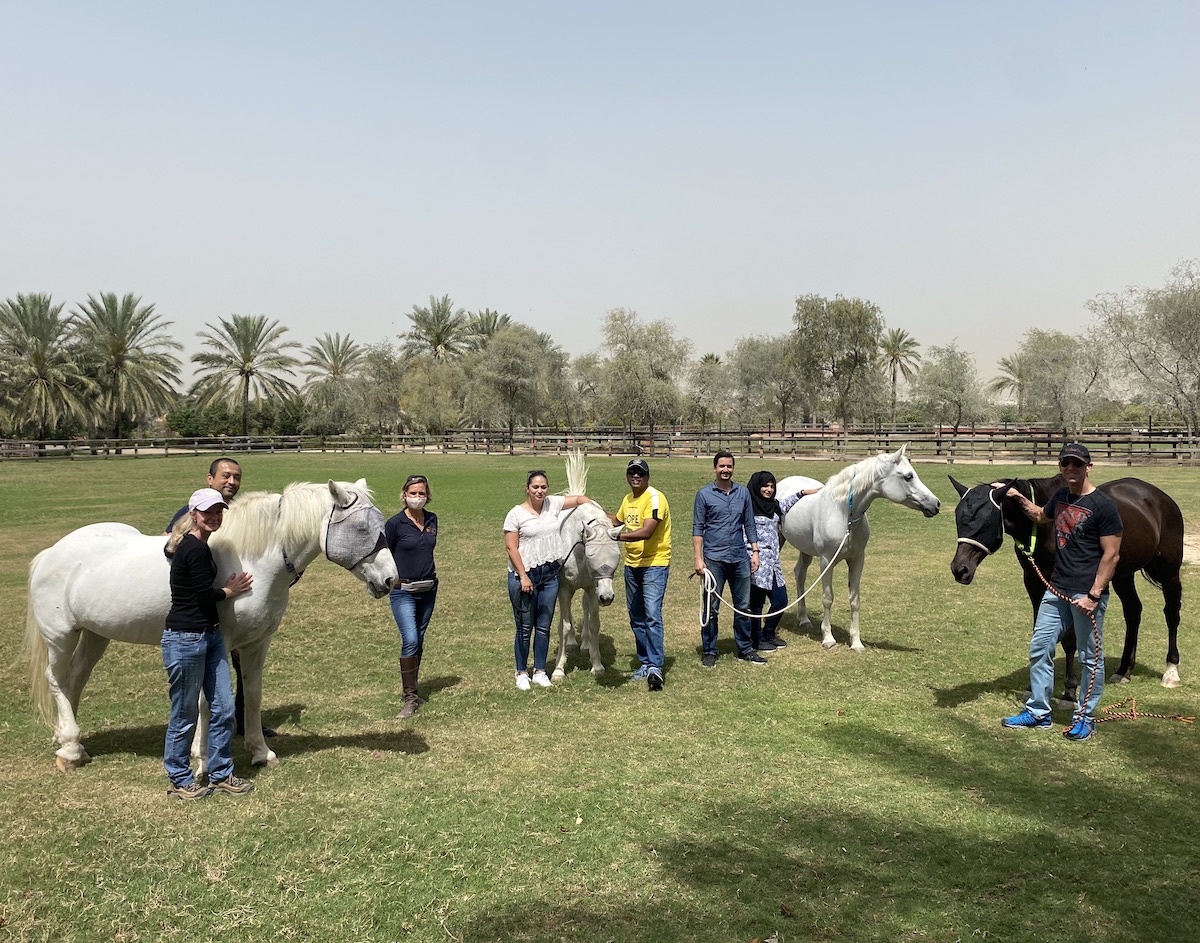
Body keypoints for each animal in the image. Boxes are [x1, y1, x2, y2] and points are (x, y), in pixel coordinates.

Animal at [24, 477, 398, 772]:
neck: (250, 561)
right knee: (56, 679)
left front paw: (261, 752)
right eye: (362, 528)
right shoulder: (215, 643)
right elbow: (206, 699)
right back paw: (71, 750)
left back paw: (66, 737)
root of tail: (50, 554)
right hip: (61, 636)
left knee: (75, 679)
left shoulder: (256, 644)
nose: (390, 579)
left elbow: (252, 694)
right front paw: (201, 757)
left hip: (95, 635)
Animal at [549, 453, 619, 681]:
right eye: (591, 555)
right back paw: (572, 642)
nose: (607, 598)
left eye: (617, 556)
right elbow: (564, 625)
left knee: (585, 607)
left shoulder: (593, 587)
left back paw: (586, 644)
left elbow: (594, 623)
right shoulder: (564, 589)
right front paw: (559, 669)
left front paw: (597, 665)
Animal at [782, 443, 940, 652]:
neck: (843, 512)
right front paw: (828, 638)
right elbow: (828, 598)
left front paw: (856, 642)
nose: (936, 504)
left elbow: (855, 600)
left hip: (806, 550)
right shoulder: (826, 561)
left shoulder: (857, 560)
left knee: (800, 574)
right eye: (908, 476)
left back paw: (804, 619)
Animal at [950, 470, 1185, 695]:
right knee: (1133, 612)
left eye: (987, 520)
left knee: (1171, 614)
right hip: (1122, 575)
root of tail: (1158, 496)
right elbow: (1040, 633)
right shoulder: (1033, 582)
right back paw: (1123, 670)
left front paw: (1069, 690)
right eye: (959, 517)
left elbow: (1070, 639)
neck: (1046, 527)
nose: (960, 569)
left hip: (1169, 572)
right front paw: (1033, 686)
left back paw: (1171, 671)